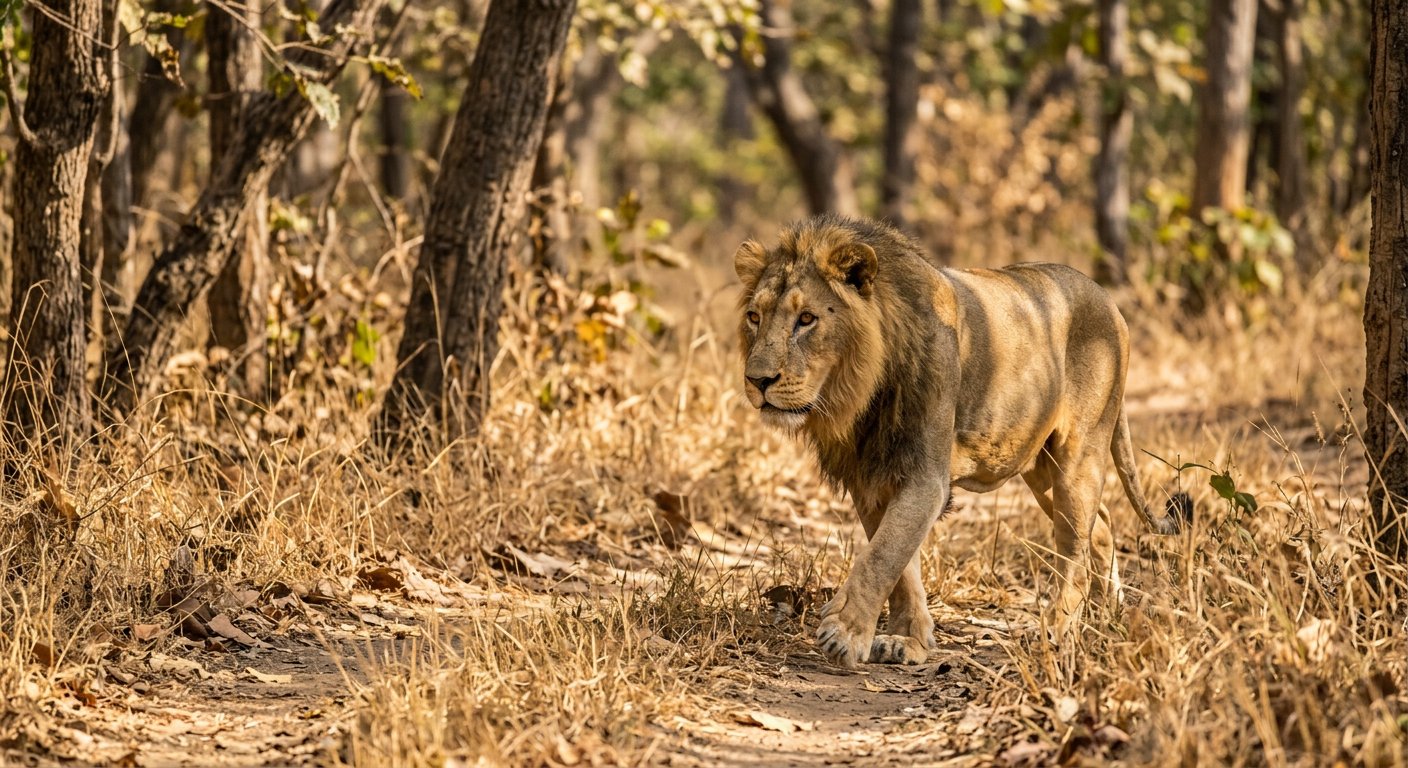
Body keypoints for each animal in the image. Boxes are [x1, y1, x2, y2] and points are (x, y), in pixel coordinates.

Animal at [734, 215, 1187, 668]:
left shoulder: (925, 476)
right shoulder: (871, 477)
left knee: (1074, 544)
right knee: (1103, 524)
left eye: (807, 319)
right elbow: (900, 565)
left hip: (1078, 456)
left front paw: (845, 632)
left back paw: (1059, 631)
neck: (857, 395)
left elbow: (883, 554)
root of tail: (1110, 302)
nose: (758, 381)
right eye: (755, 317)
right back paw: (1108, 614)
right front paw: (908, 640)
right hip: (1041, 468)